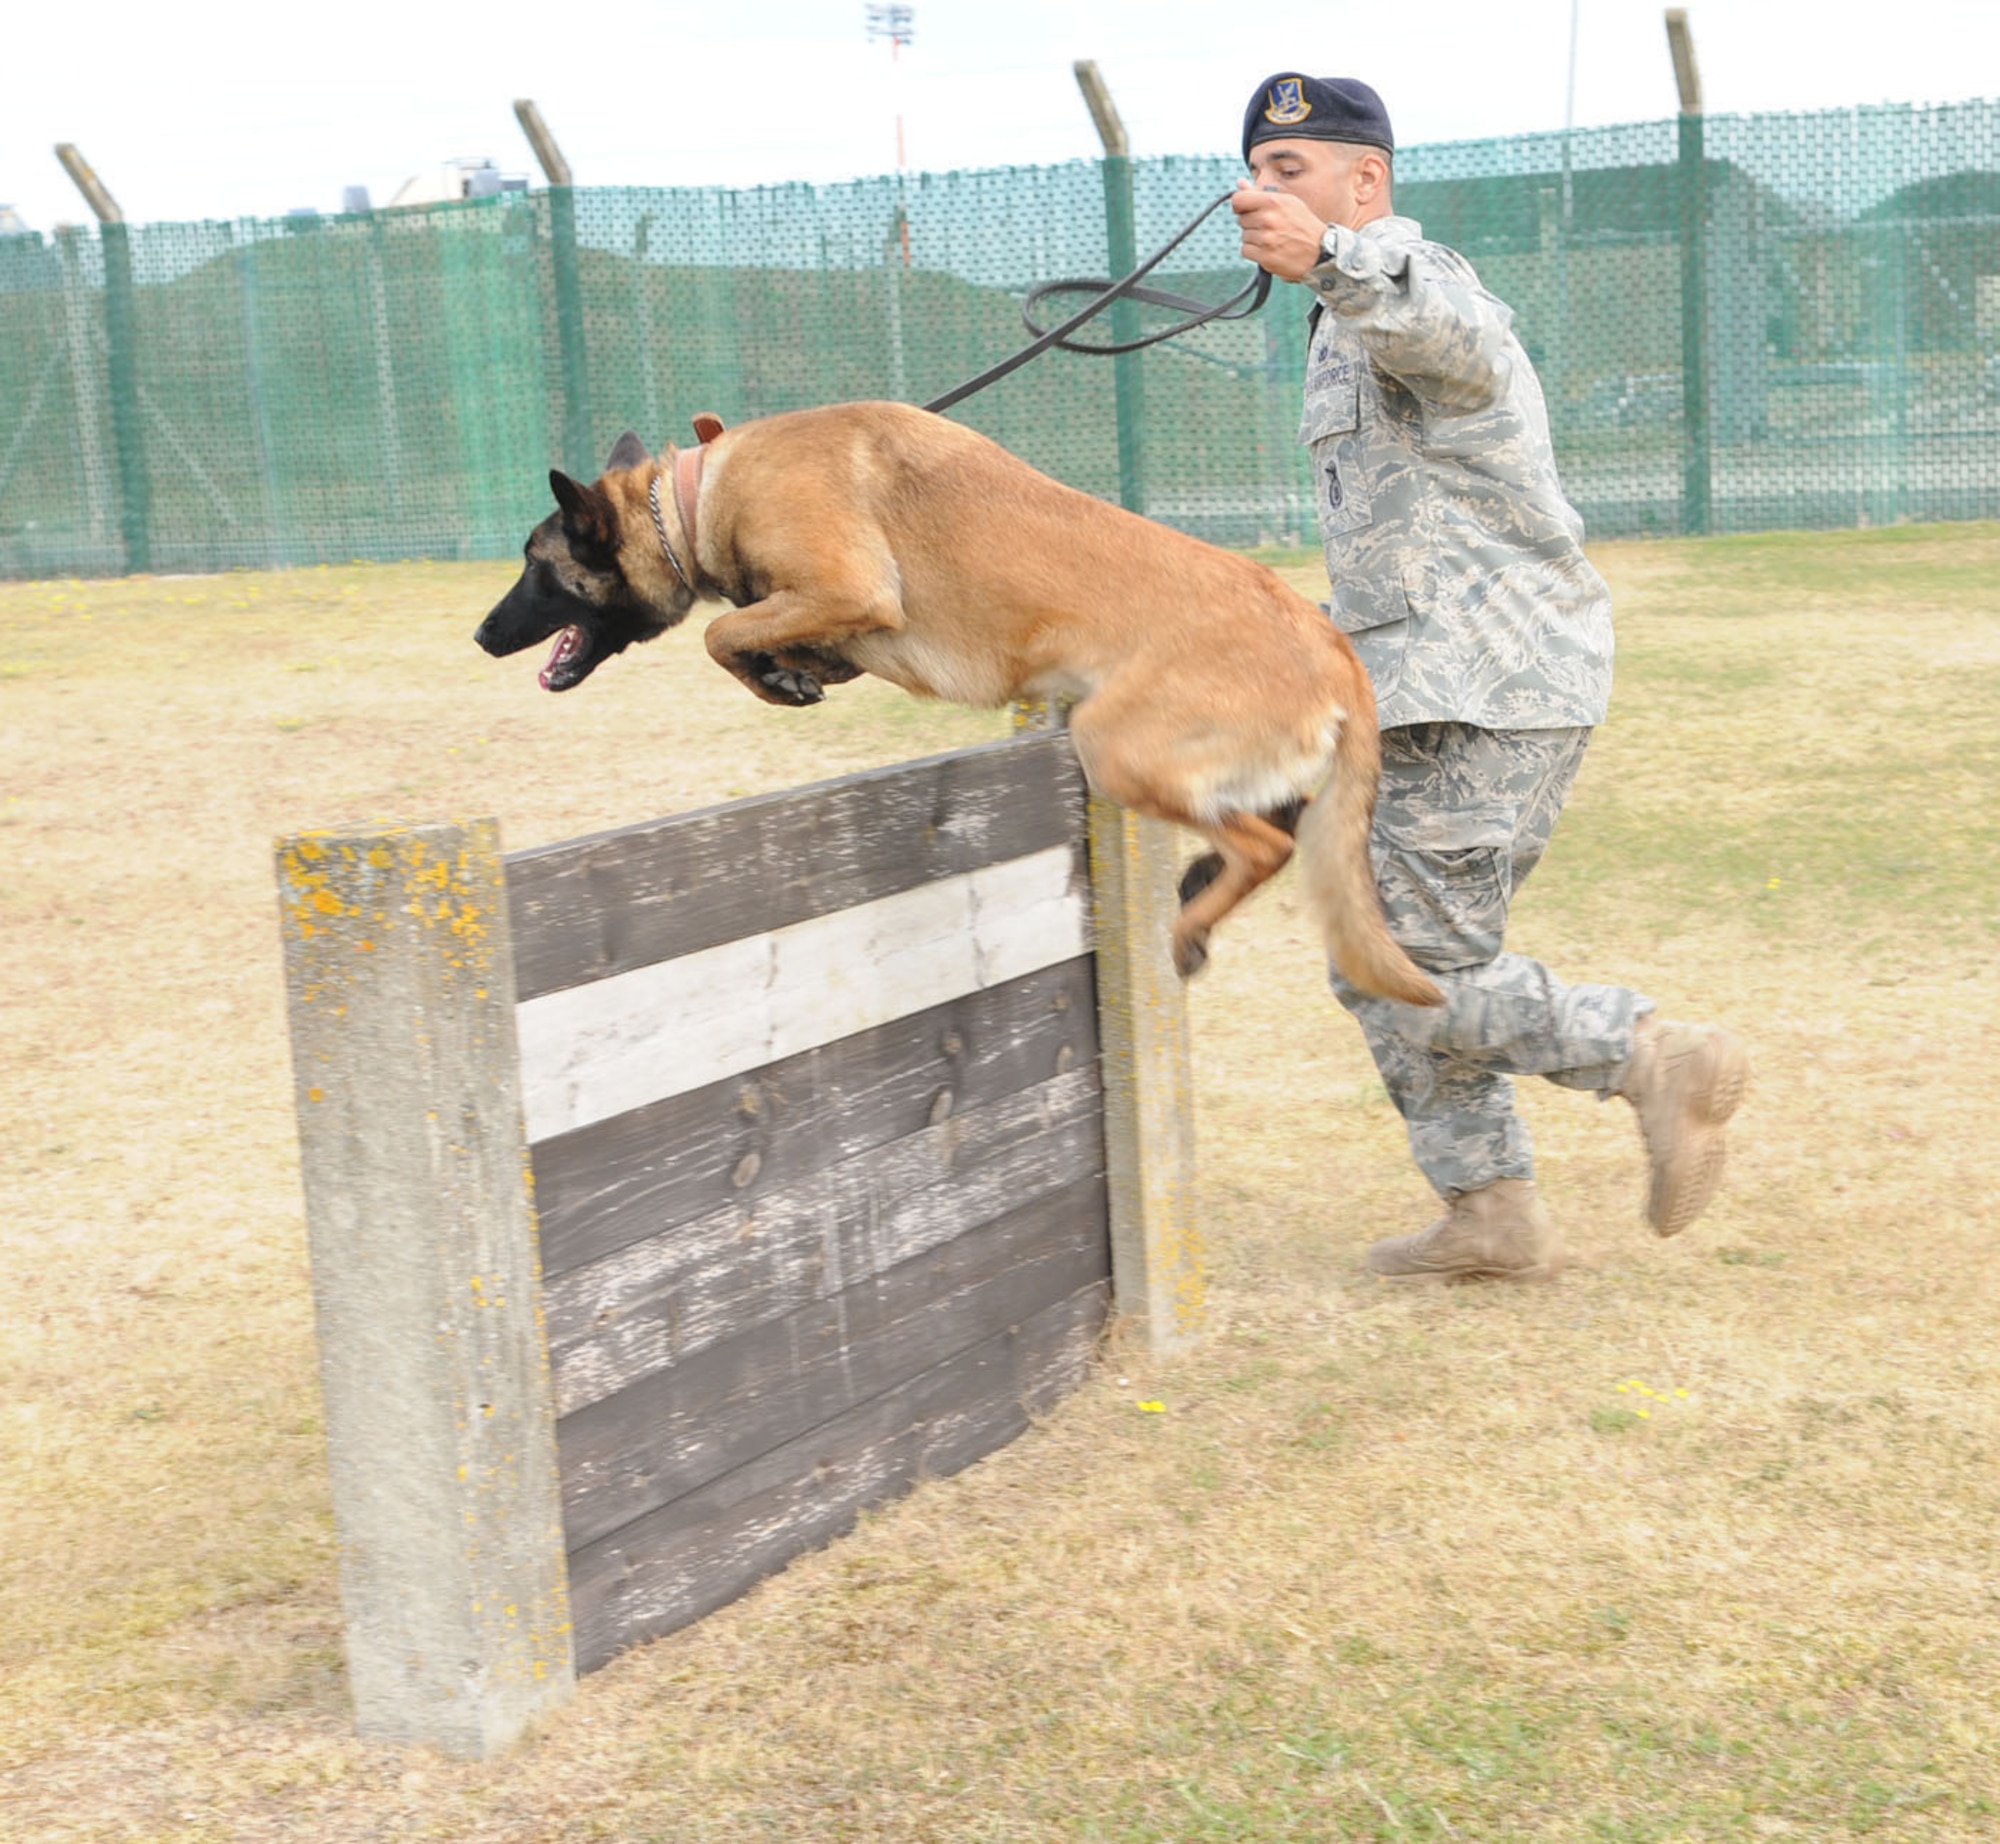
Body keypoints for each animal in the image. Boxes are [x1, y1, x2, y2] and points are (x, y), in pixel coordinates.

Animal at [476, 400, 1448, 1008]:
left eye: (534, 565)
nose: (483, 636)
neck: (696, 493)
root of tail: (1333, 648)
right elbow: (771, 637)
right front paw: (791, 669)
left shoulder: (850, 588)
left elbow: (723, 633)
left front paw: (774, 676)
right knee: (1276, 825)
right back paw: (1201, 888)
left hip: (1113, 744)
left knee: (1266, 845)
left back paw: (1189, 927)